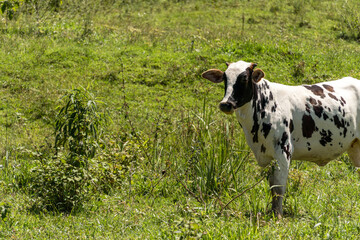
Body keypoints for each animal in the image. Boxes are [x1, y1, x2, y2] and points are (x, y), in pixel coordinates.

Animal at [201, 60, 360, 218]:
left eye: (244, 78)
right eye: (225, 78)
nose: (225, 104)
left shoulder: (283, 151)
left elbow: (279, 187)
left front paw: (277, 215)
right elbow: (272, 185)